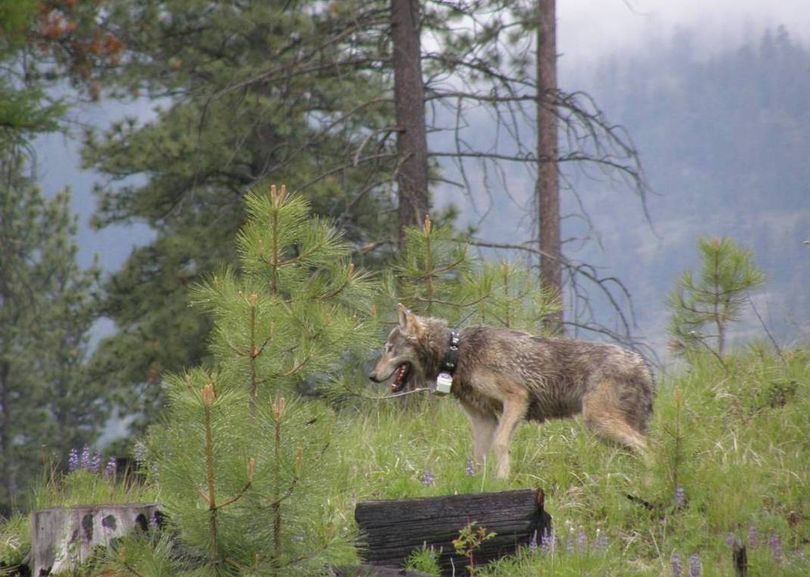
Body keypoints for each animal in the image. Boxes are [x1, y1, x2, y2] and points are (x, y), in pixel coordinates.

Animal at [370, 306, 652, 476]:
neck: (456, 354)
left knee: (650, 446)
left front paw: (503, 478)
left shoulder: (516, 398)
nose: (371, 376)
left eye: (388, 349)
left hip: (599, 423)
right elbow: (478, 457)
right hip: (607, 432)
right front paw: (480, 484)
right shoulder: (483, 419)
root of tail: (643, 365)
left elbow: (500, 443)